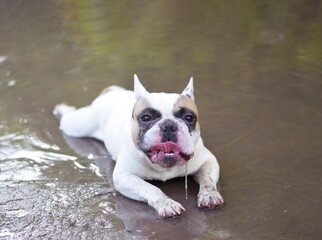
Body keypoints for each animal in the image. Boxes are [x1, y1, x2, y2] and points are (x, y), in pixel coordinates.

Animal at [53, 76, 224, 218]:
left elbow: (207, 179)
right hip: (77, 126)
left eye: (189, 118)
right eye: (146, 117)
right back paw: (62, 109)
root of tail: (110, 92)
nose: (168, 126)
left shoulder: (208, 161)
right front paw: (166, 203)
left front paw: (209, 195)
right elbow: (150, 188)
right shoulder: (125, 177)